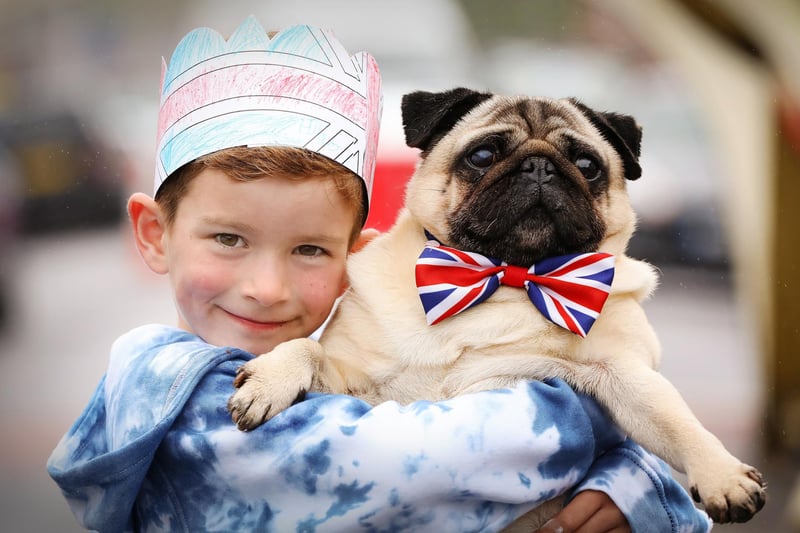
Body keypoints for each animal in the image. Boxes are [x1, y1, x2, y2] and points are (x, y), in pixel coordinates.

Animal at [228, 87, 764, 524]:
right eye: (483, 155)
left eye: (587, 165)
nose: (540, 166)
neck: (506, 276)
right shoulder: (353, 389)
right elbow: (309, 349)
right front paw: (269, 379)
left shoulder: (623, 373)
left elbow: (677, 421)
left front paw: (723, 476)